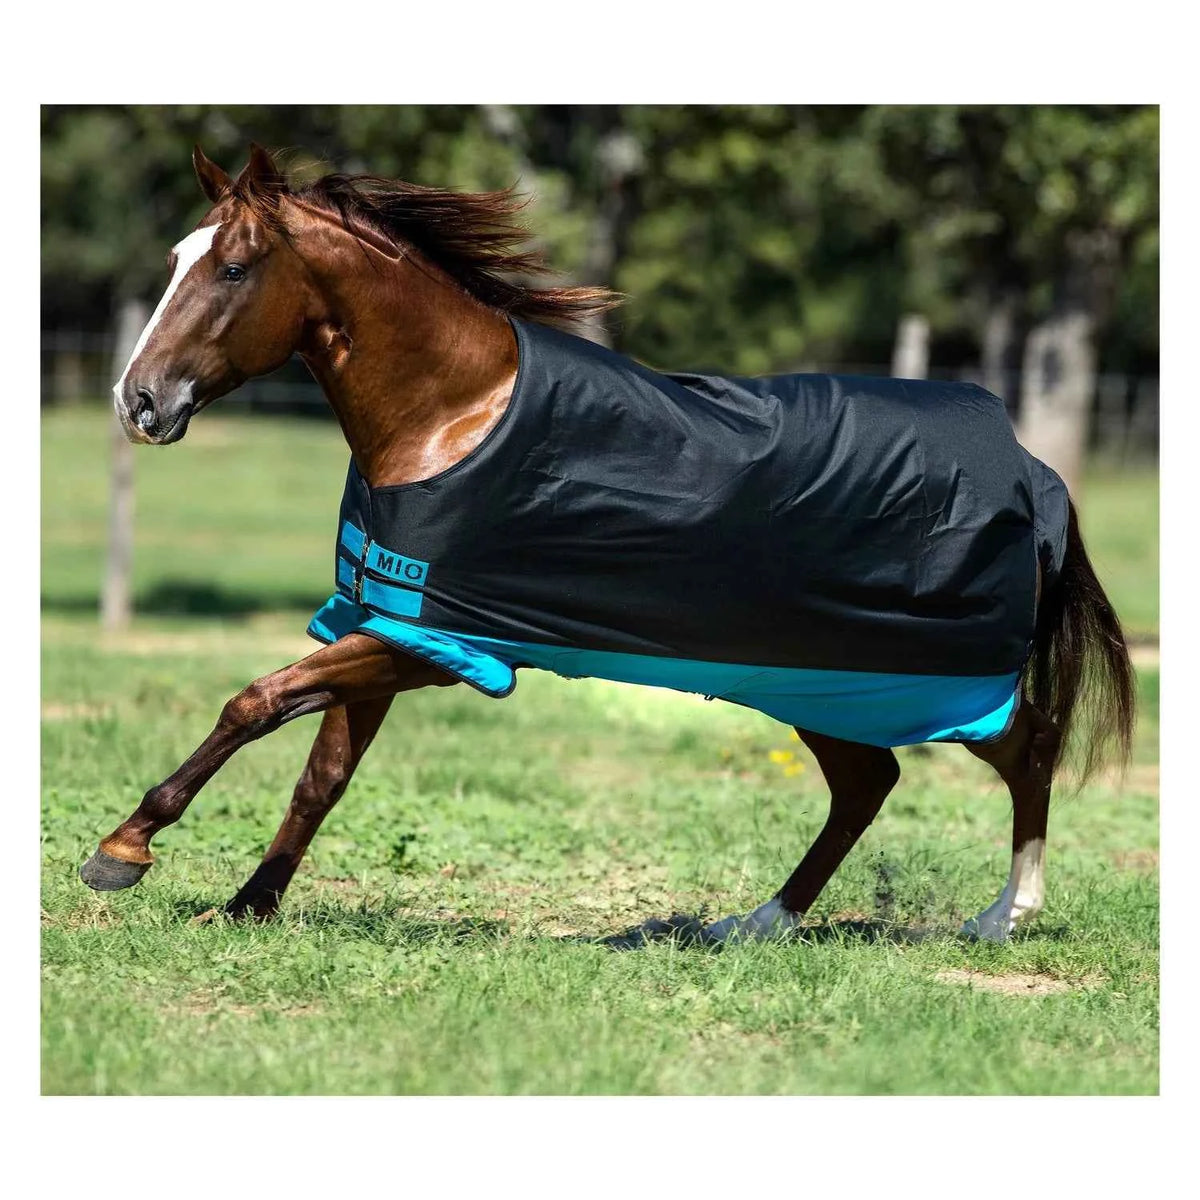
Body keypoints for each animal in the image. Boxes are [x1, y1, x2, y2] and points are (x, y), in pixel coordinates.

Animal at [80, 144, 1136, 946]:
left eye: (232, 266)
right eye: (178, 254)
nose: (139, 403)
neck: (452, 415)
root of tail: (1031, 471)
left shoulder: (445, 645)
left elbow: (254, 702)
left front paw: (123, 850)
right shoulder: (392, 621)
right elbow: (320, 775)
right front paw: (247, 905)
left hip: (923, 681)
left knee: (1029, 748)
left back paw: (1004, 917)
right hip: (824, 683)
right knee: (868, 783)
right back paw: (755, 926)